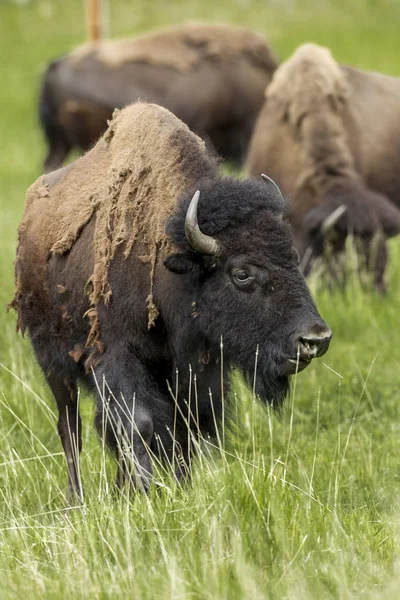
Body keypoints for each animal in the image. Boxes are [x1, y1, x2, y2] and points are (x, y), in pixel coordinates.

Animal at [11, 101, 332, 500]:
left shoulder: (198, 370)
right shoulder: (116, 357)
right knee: (70, 426)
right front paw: (143, 492)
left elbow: (186, 429)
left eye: (293, 257)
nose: (315, 339)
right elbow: (138, 424)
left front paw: (178, 489)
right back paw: (78, 499)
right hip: (53, 363)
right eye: (242, 273)